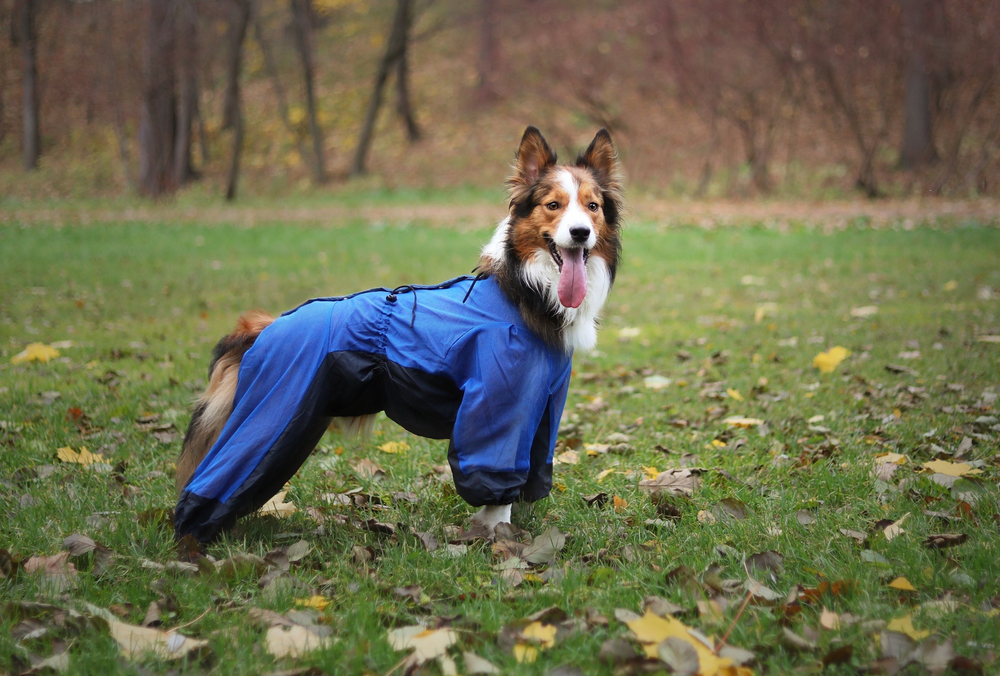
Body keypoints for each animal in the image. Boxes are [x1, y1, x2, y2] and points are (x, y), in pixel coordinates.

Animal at [176, 125, 620, 540]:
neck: (523, 287)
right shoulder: (498, 406)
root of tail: (263, 326)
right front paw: (498, 539)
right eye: (553, 205)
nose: (580, 233)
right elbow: (497, 485)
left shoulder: (542, 408)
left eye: (592, 207)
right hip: (272, 411)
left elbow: (529, 472)